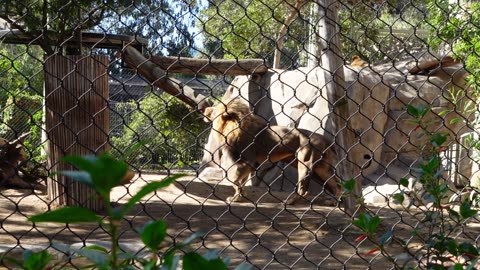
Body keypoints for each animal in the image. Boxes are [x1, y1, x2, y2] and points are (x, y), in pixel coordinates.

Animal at [203, 98, 342, 204]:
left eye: (214, 110)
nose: (205, 110)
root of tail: (325, 139)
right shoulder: (248, 164)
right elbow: (240, 182)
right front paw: (239, 197)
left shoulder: (244, 161)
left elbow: (234, 180)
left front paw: (235, 198)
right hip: (321, 167)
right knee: (337, 184)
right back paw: (333, 202)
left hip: (305, 162)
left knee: (304, 190)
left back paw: (290, 201)